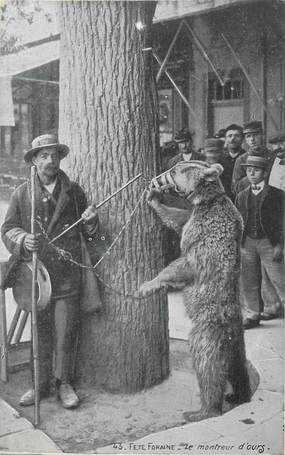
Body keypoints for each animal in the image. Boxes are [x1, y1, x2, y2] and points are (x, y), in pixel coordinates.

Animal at [139, 161, 250, 424]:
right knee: (237, 367)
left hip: (206, 333)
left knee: (208, 367)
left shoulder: (204, 232)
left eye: (175, 170)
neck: (207, 200)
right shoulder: (192, 217)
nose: (155, 180)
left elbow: (184, 263)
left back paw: (203, 410)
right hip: (237, 342)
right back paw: (239, 394)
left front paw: (148, 285)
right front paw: (153, 199)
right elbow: (175, 218)